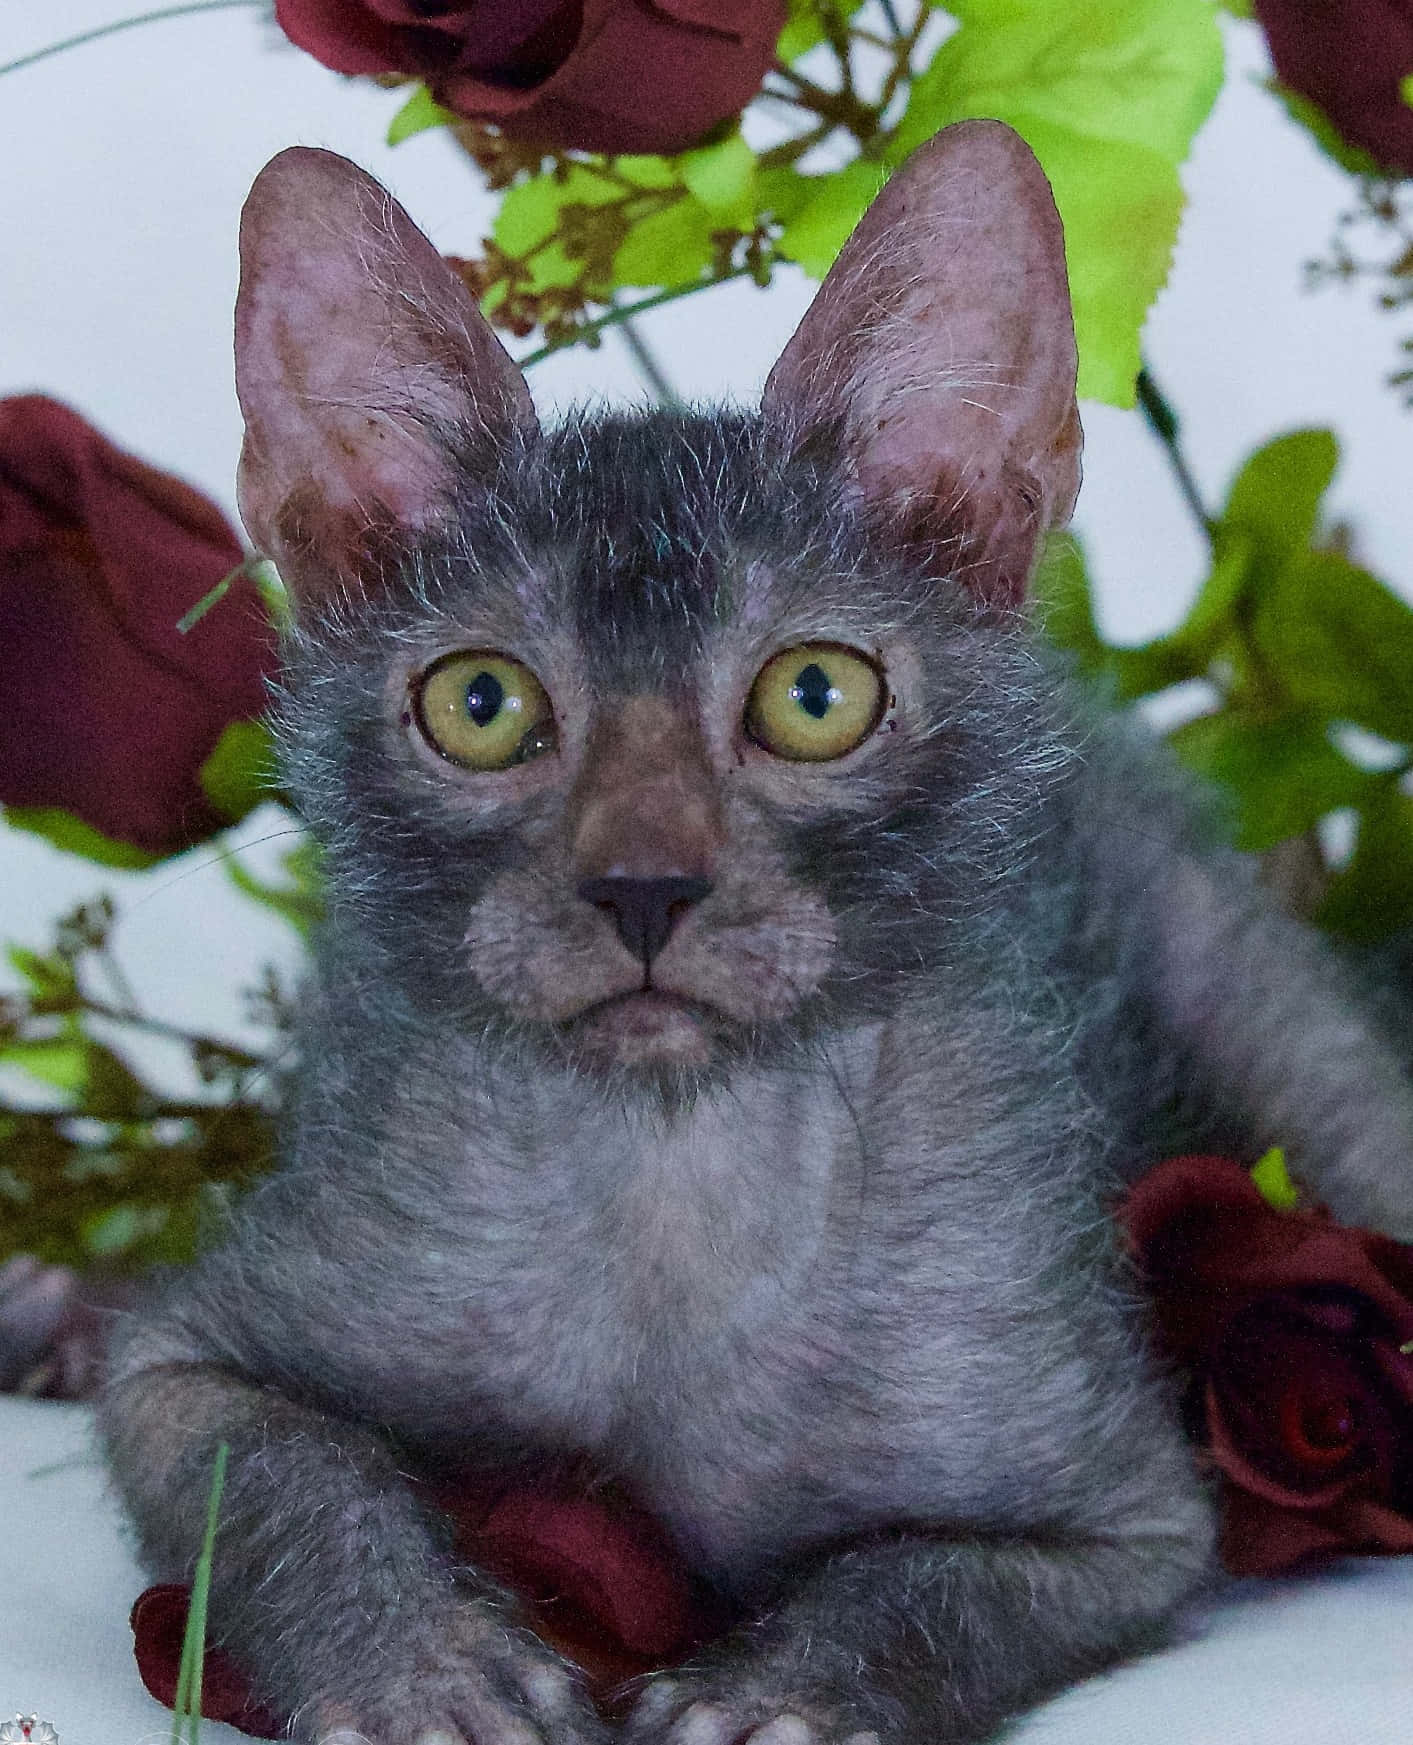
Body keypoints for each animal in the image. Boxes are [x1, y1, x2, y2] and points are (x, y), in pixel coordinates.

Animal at [98, 123, 1409, 1745]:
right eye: (481, 704)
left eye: (815, 696)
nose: (644, 887)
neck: (680, 1175)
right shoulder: (185, 1361)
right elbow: (282, 1472)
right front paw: (425, 1661)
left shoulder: (1124, 1517)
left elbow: (925, 1581)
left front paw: (782, 1692)